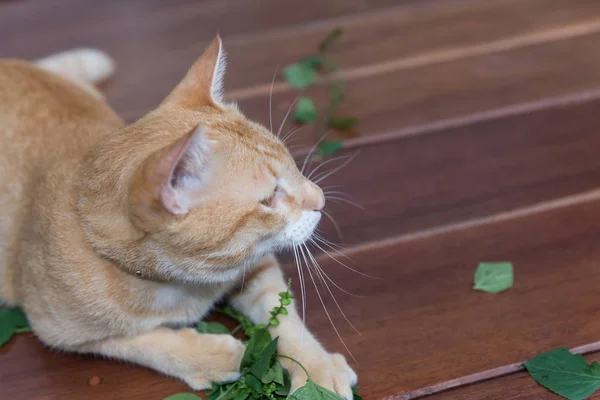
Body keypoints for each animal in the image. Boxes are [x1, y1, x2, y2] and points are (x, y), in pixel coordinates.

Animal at [0, 36, 356, 398]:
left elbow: (282, 313)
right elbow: (139, 341)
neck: (185, 284)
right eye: (269, 199)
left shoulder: (258, 266)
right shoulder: (59, 332)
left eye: (293, 165)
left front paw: (315, 370)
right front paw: (212, 356)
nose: (321, 199)